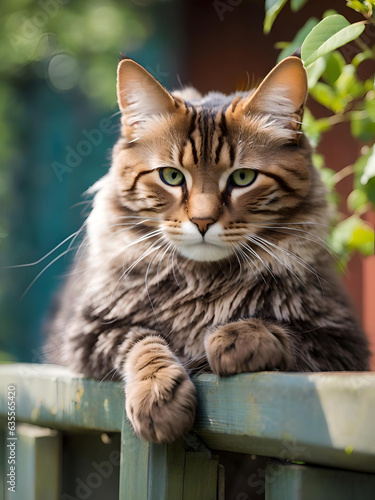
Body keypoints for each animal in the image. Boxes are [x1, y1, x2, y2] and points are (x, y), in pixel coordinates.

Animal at [44, 55, 370, 442]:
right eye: (171, 176)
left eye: (243, 178)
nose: (202, 221)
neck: (203, 283)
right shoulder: (89, 332)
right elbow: (140, 340)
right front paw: (157, 393)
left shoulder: (342, 343)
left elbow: (288, 334)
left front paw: (238, 337)